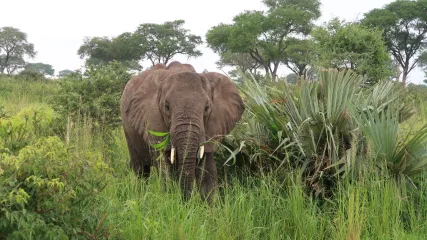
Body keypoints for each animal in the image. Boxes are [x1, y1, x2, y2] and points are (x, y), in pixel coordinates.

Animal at [119, 61, 244, 202]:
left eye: (207, 108)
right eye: (167, 107)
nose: (185, 202)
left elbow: (207, 170)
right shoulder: (152, 122)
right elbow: (165, 169)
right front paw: (172, 201)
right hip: (127, 128)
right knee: (141, 171)